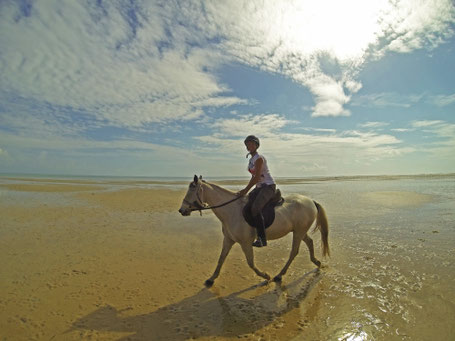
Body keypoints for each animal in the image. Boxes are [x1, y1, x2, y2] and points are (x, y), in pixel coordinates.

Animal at [176, 174, 330, 286]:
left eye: (191, 191)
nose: (181, 210)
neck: (231, 210)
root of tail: (311, 201)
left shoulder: (245, 243)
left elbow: (250, 262)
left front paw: (265, 276)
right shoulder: (228, 240)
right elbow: (221, 258)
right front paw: (211, 279)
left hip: (298, 232)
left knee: (294, 251)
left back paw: (279, 275)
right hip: (300, 231)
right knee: (309, 242)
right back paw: (317, 263)